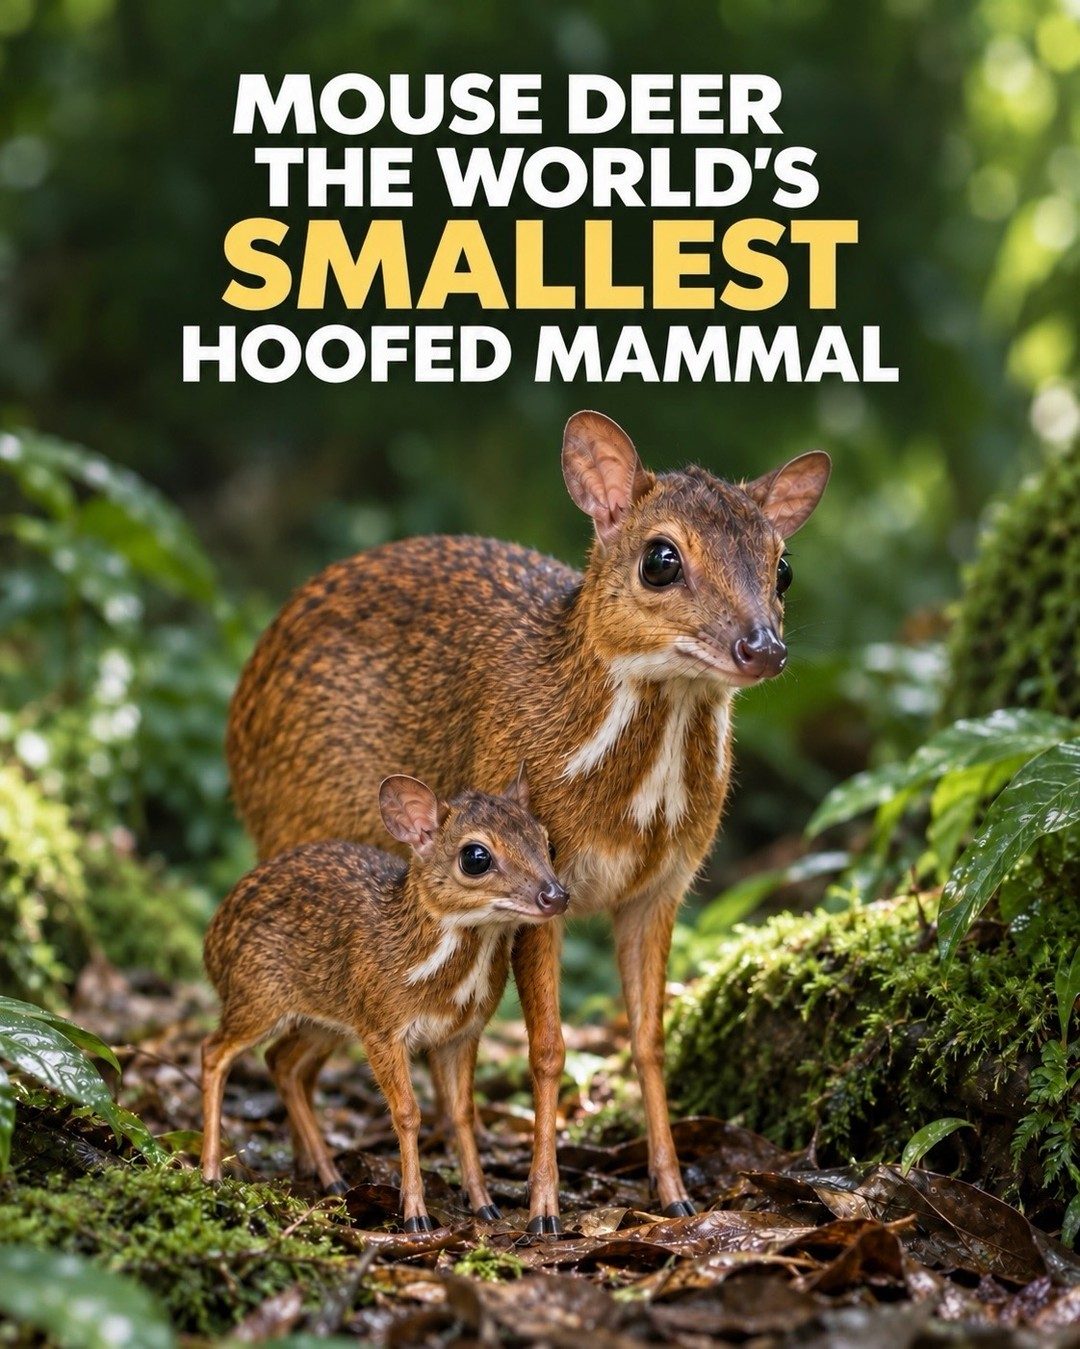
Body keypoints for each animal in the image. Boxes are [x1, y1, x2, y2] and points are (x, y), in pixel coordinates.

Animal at [226, 410, 830, 1233]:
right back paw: (327, 1172)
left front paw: (673, 1190)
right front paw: (543, 1205)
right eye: (661, 559)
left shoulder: (661, 887)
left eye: (784, 568)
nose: (762, 647)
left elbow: (649, 1041)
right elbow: (548, 1047)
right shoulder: (546, 893)